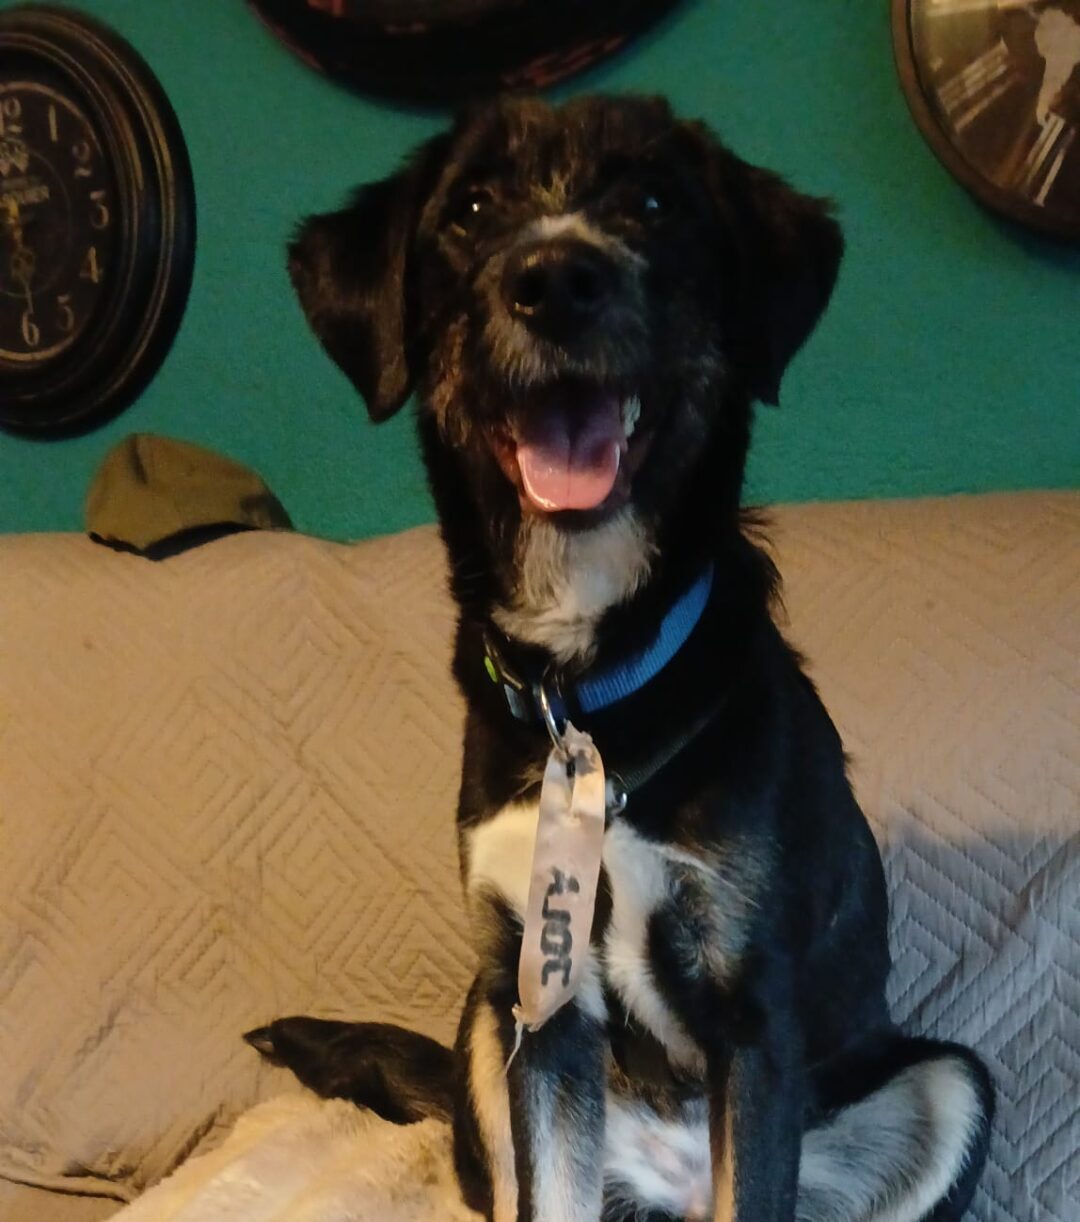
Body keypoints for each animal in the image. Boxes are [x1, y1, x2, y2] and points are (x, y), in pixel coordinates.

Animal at [250, 94, 994, 1222]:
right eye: (472, 208)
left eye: (653, 202)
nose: (557, 278)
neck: (587, 688)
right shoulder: (541, 1003)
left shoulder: (753, 1015)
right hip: (484, 1020)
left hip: (948, 1080)